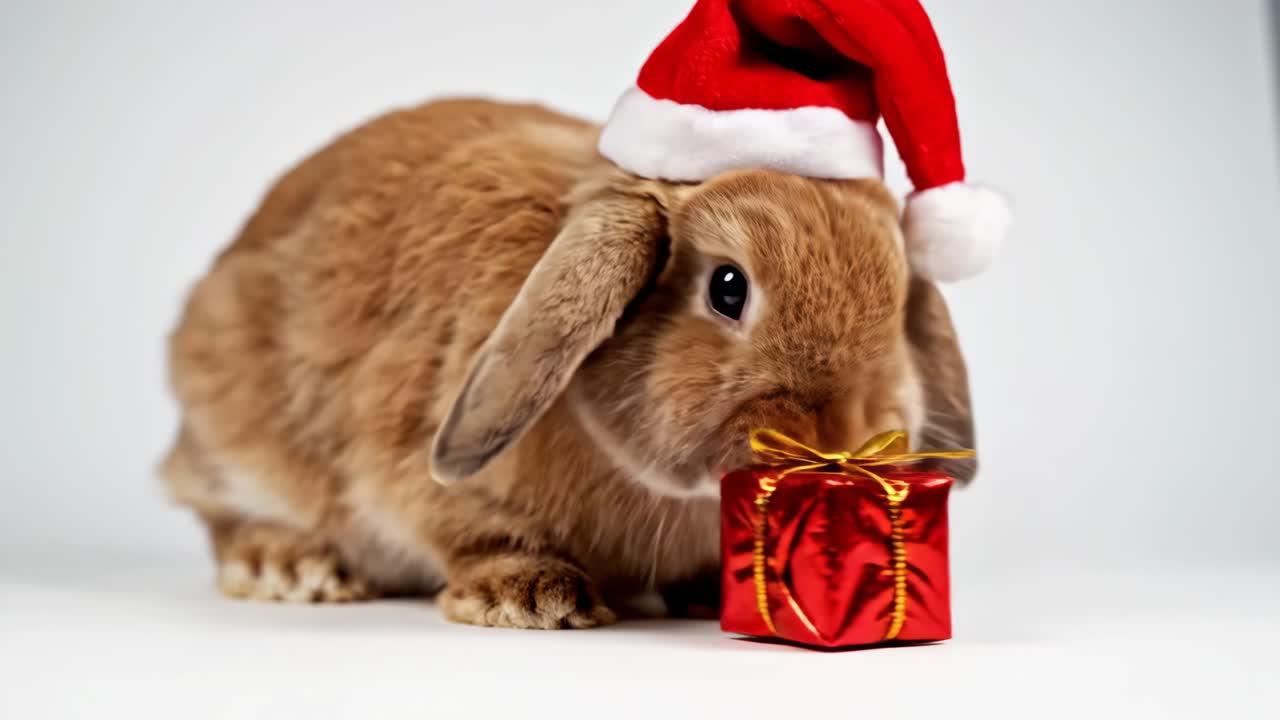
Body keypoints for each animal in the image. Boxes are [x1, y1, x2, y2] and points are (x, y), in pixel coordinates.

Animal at [160, 98, 977, 629]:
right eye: (728, 288)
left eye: (896, 296)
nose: (839, 436)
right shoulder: (418, 457)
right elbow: (471, 529)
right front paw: (532, 598)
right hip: (232, 431)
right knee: (223, 514)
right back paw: (292, 569)